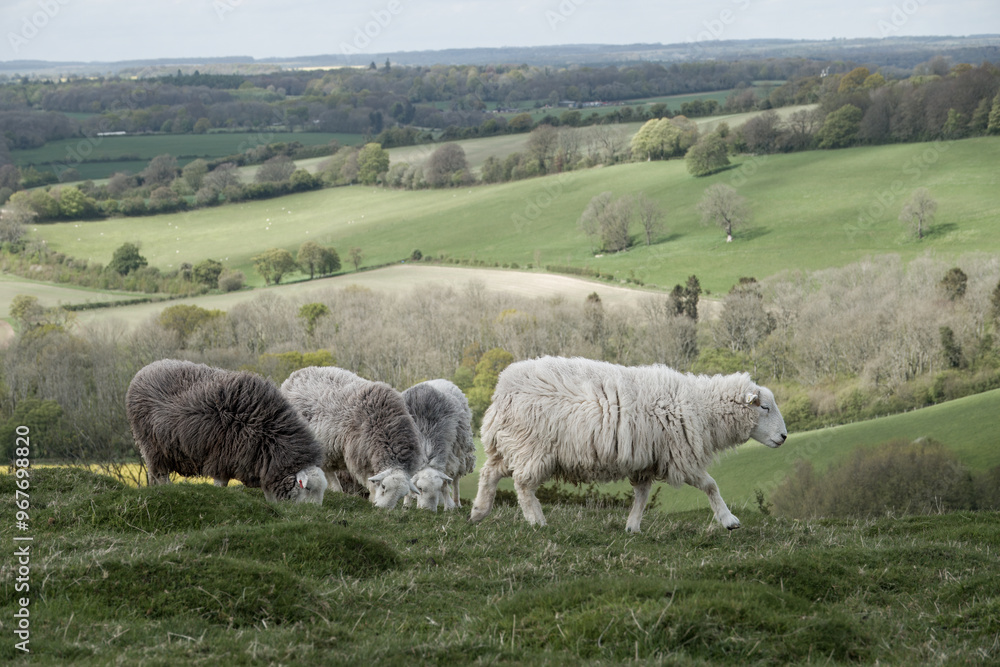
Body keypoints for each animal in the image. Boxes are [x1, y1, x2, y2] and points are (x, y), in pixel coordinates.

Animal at [282, 368, 422, 508]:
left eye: (401, 496)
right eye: (383, 486)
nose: (383, 510)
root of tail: (297, 373)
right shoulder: (360, 458)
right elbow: (369, 480)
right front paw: (372, 498)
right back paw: (337, 489)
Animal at [402, 380, 476, 512]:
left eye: (438, 489)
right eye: (420, 488)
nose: (428, 511)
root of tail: (439, 380)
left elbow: (445, 485)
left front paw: (448, 508)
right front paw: (406, 505)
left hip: (459, 449)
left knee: (456, 480)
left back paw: (456, 503)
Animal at [468, 358, 788, 536]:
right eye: (765, 407)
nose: (785, 437)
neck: (701, 407)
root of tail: (502, 388)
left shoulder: (647, 459)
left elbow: (642, 495)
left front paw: (632, 526)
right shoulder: (679, 457)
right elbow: (711, 485)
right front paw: (729, 520)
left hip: (510, 442)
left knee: (488, 473)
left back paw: (478, 512)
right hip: (532, 446)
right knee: (522, 484)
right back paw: (537, 521)